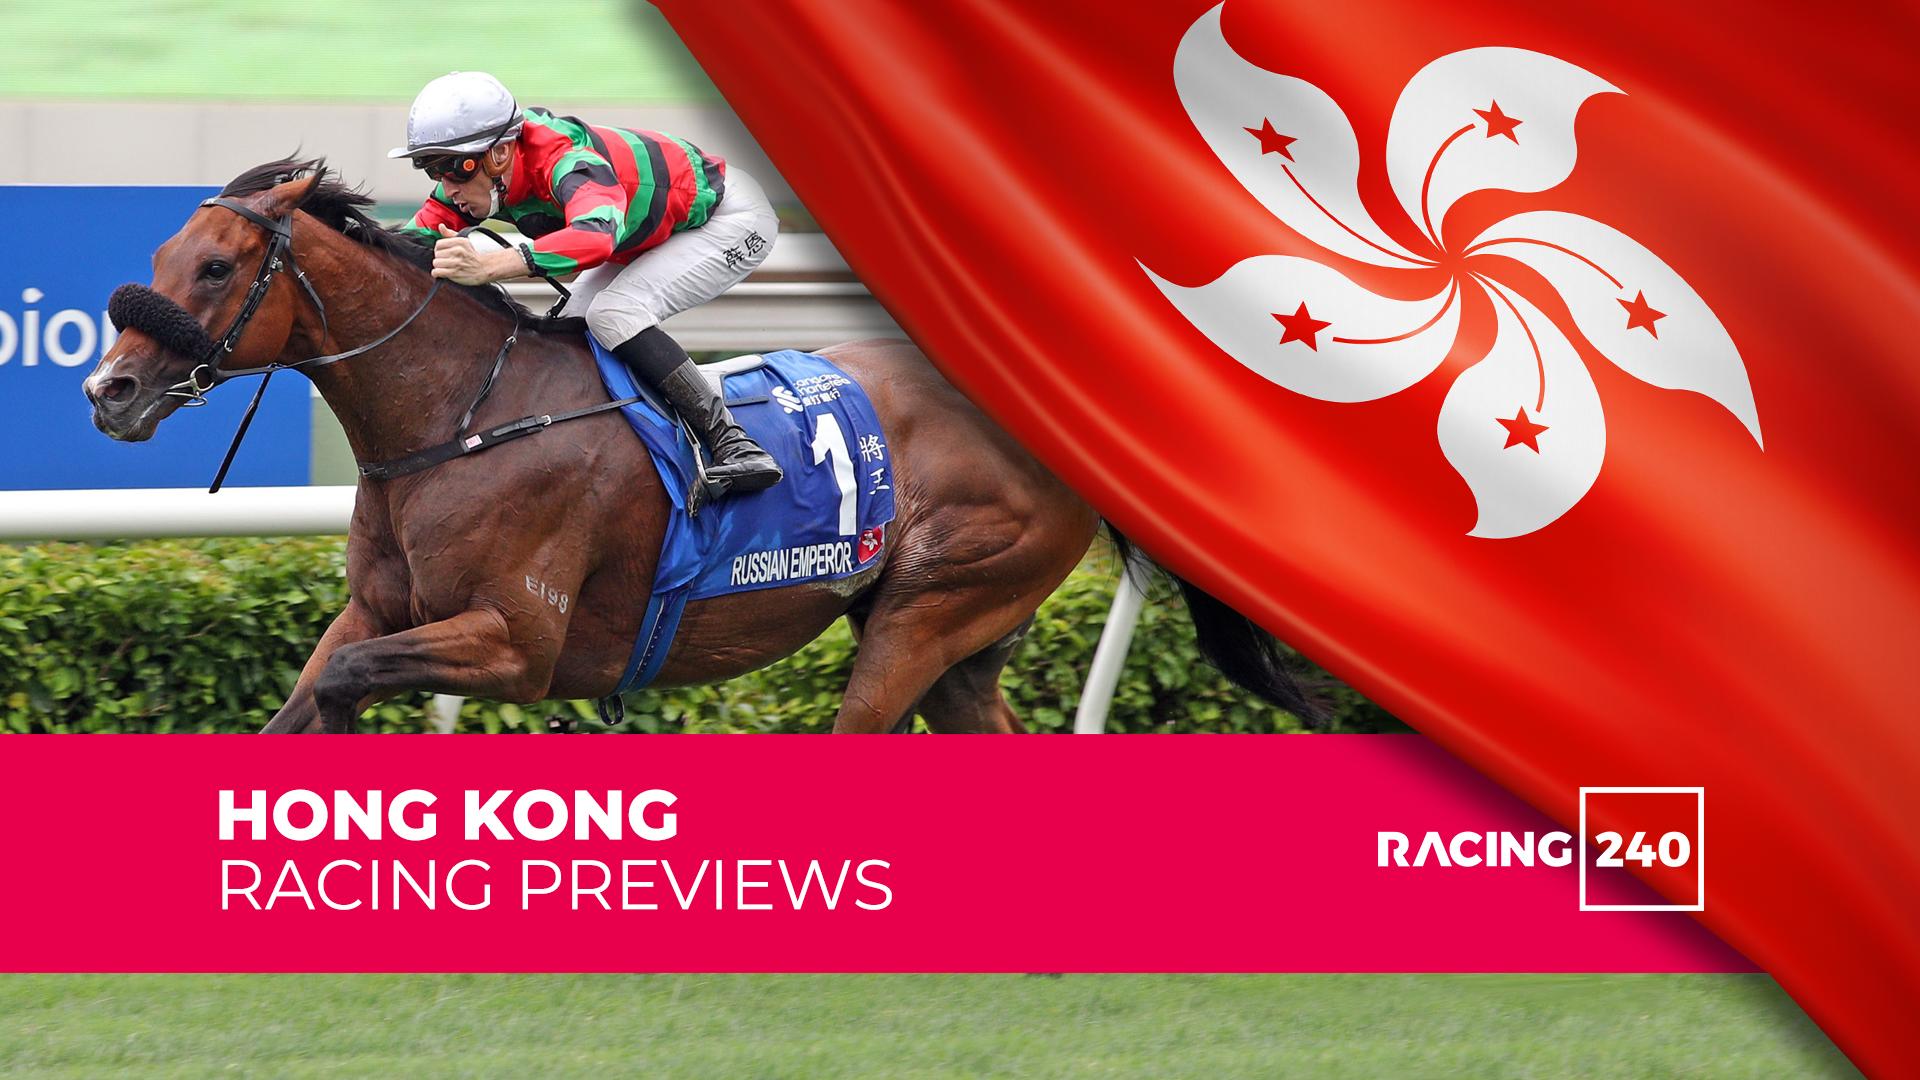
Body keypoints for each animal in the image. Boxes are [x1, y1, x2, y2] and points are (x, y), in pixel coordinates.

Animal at [82, 159, 1307, 733]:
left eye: (216, 268)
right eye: (162, 253)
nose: (110, 391)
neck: (459, 420)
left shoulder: (517, 644)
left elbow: (342, 684)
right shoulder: (380, 612)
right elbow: (307, 696)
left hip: (930, 608)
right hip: (965, 642)